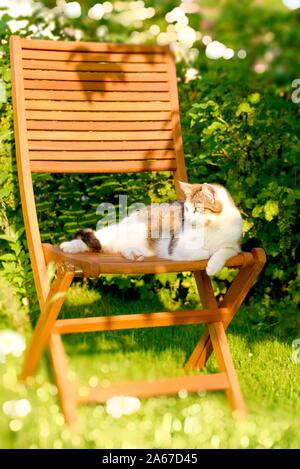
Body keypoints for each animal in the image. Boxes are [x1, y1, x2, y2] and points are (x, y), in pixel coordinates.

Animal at [59, 179, 244, 274]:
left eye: (197, 209)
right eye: (186, 209)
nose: (189, 219)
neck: (212, 227)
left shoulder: (234, 246)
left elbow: (223, 251)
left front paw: (213, 266)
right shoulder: (176, 247)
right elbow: (203, 252)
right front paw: (207, 255)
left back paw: (132, 253)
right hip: (123, 231)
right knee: (96, 238)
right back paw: (69, 246)